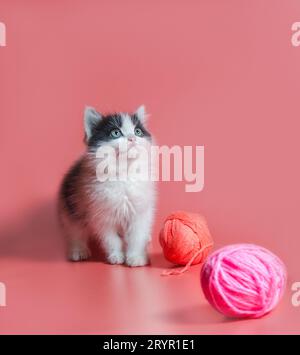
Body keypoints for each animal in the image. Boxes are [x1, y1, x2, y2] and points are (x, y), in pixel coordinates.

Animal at [59, 105, 157, 268]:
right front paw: (116, 256)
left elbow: (137, 235)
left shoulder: (140, 211)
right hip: (72, 206)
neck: (123, 173)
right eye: (115, 133)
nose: (132, 138)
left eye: (138, 131)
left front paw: (136, 257)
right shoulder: (101, 213)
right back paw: (78, 251)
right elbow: (111, 239)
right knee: (75, 230)